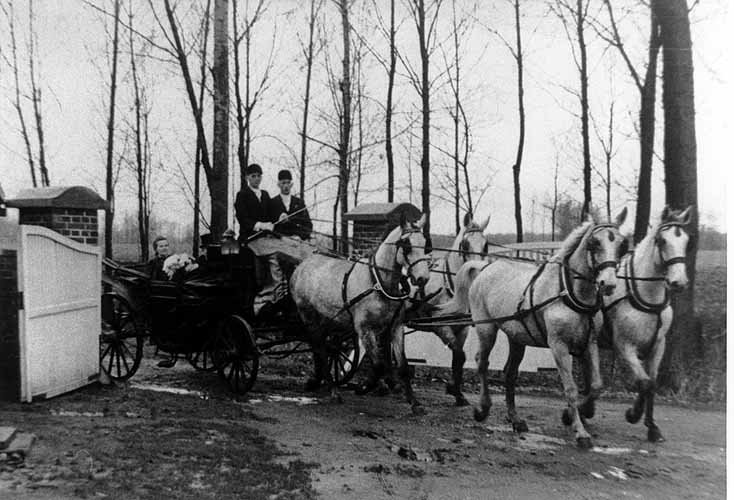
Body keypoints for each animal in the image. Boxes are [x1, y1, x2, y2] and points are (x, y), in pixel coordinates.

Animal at [290, 213, 434, 412]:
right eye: (406, 244)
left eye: (425, 243)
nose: (422, 278)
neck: (378, 282)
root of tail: (302, 265)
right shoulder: (365, 329)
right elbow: (379, 364)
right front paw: (364, 386)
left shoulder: (395, 327)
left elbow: (403, 366)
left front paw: (414, 403)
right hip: (308, 315)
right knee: (320, 348)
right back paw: (333, 391)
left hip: (327, 319)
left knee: (323, 348)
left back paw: (317, 381)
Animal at [406, 212, 492, 406]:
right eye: (465, 245)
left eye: (486, 245)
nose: (478, 273)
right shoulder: (440, 326)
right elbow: (459, 355)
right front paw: (453, 389)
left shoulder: (462, 328)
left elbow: (458, 360)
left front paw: (457, 392)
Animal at [440, 210, 628, 450]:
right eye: (594, 243)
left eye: (622, 244)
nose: (608, 284)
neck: (568, 291)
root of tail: (485, 268)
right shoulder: (558, 345)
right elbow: (571, 389)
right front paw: (580, 431)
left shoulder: (589, 343)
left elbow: (595, 385)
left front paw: (576, 413)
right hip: (486, 328)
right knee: (482, 362)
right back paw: (483, 408)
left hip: (517, 337)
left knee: (510, 374)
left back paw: (515, 419)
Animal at [596, 204, 692, 442]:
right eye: (662, 240)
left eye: (687, 241)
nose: (678, 282)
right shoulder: (624, 346)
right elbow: (644, 382)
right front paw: (633, 414)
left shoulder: (658, 344)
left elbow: (652, 382)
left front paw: (652, 426)